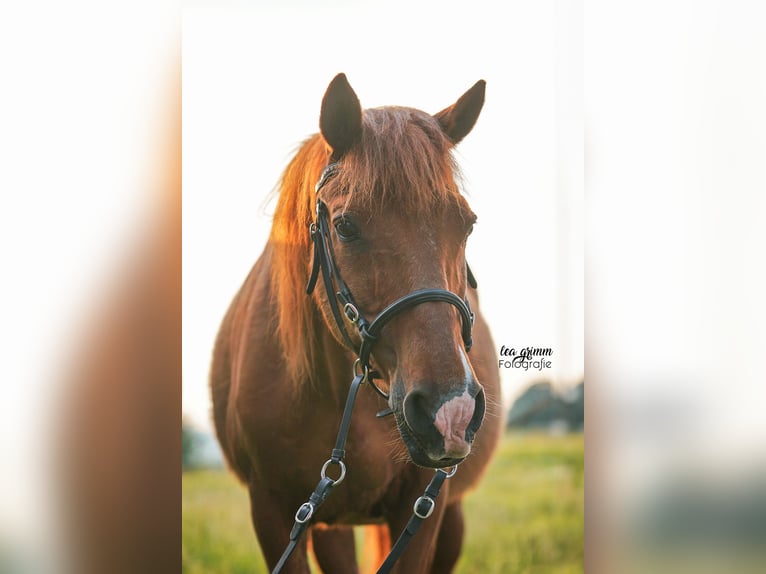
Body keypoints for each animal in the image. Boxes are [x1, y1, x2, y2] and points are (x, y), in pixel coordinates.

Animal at [212, 74, 504, 572]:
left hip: (451, 520)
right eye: (345, 226)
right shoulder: (274, 511)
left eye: (467, 224)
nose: (451, 410)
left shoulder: (422, 507)